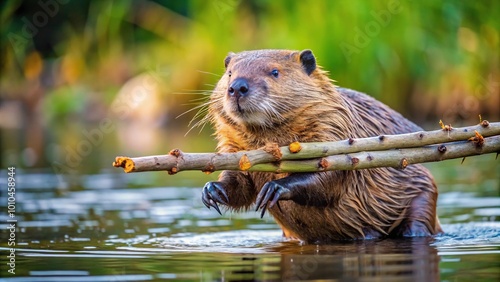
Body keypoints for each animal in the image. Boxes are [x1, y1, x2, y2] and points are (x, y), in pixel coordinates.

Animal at [199, 49, 442, 242]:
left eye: (275, 72)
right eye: (230, 73)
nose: (237, 87)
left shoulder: (334, 127)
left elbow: (331, 174)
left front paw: (274, 188)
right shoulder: (234, 146)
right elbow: (241, 180)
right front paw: (212, 190)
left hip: (423, 195)